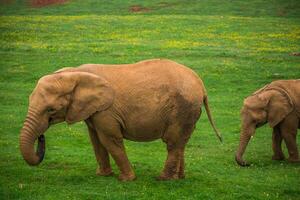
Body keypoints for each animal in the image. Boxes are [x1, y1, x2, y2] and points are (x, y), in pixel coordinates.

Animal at [18, 58, 221, 180]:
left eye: (51, 109)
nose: (41, 136)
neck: (75, 73)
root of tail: (201, 84)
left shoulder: (106, 111)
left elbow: (110, 139)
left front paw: (126, 180)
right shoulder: (93, 111)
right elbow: (96, 141)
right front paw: (103, 175)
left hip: (183, 109)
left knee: (172, 142)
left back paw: (163, 179)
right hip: (188, 111)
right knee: (180, 143)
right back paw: (179, 178)